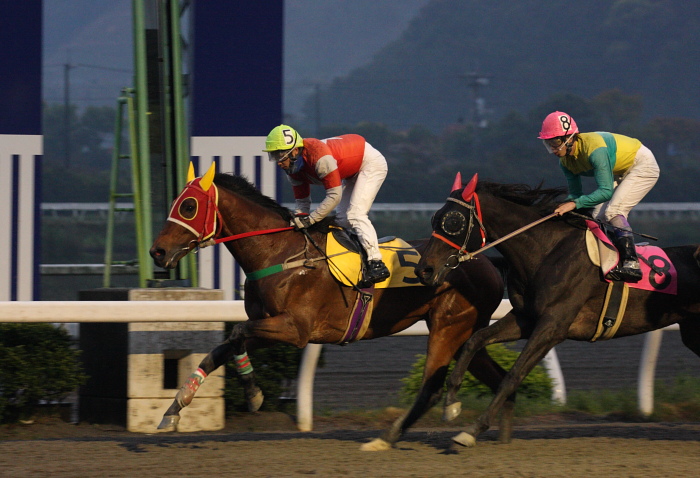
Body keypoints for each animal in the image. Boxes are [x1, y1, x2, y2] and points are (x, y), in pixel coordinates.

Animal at [149, 162, 508, 450]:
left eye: (189, 206)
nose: (157, 252)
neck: (281, 253)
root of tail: (483, 260)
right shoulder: (269, 325)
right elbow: (219, 350)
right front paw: (173, 410)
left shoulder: (294, 329)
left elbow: (236, 333)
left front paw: (253, 394)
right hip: (463, 330)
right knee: (495, 373)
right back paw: (492, 428)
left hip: (450, 326)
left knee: (433, 385)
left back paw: (392, 436)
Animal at [416, 175, 700, 448]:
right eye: (434, 218)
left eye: (454, 221)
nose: (424, 270)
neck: (546, 251)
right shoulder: (525, 319)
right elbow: (474, 341)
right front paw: (451, 404)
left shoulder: (553, 327)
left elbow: (513, 375)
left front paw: (472, 430)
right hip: (691, 333)